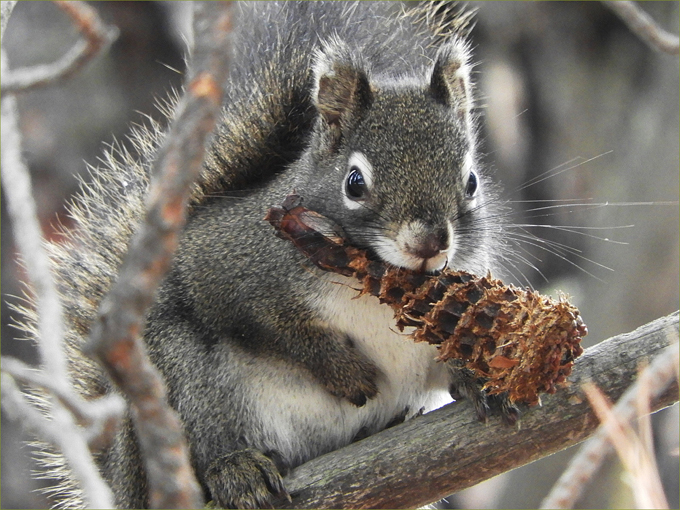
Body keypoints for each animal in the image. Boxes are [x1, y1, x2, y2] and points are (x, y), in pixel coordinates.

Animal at [25, 1, 516, 508]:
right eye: (354, 183)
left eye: (471, 181)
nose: (429, 242)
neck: (378, 285)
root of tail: (120, 481)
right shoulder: (228, 267)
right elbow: (275, 324)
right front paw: (341, 369)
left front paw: (483, 378)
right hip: (182, 376)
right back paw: (236, 469)